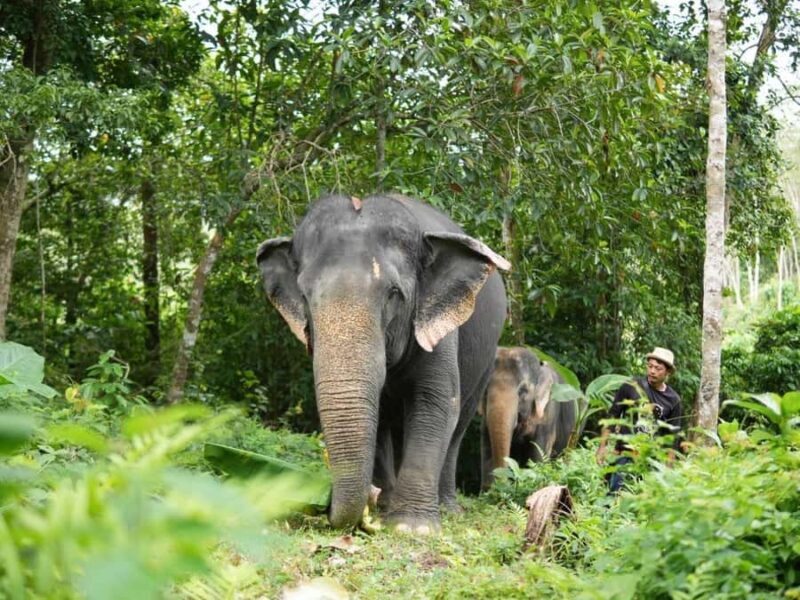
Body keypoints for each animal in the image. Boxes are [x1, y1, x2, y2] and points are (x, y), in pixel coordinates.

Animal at [257, 193, 509, 533]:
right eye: (305, 296)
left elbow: (435, 402)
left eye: (394, 294)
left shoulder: (438, 329)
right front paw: (381, 508)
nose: (326, 505)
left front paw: (411, 528)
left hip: (487, 362)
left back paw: (446, 508)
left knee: (459, 424)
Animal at [479, 346, 578, 490]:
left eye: (523, 391)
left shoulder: (548, 413)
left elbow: (538, 454)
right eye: (485, 391)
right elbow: (487, 449)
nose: (505, 485)